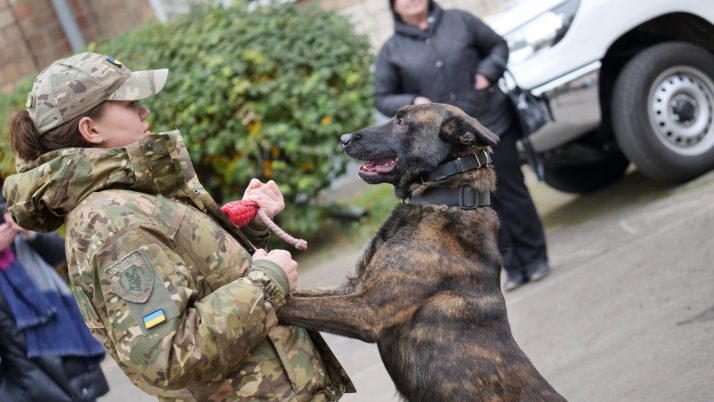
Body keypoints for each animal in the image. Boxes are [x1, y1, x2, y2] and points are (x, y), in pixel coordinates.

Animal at [276, 104, 560, 402]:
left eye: (402, 122)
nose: (343, 138)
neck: (446, 197)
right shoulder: (352, 286)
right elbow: (295, 294)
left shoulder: (365, 308)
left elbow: (289, 304)